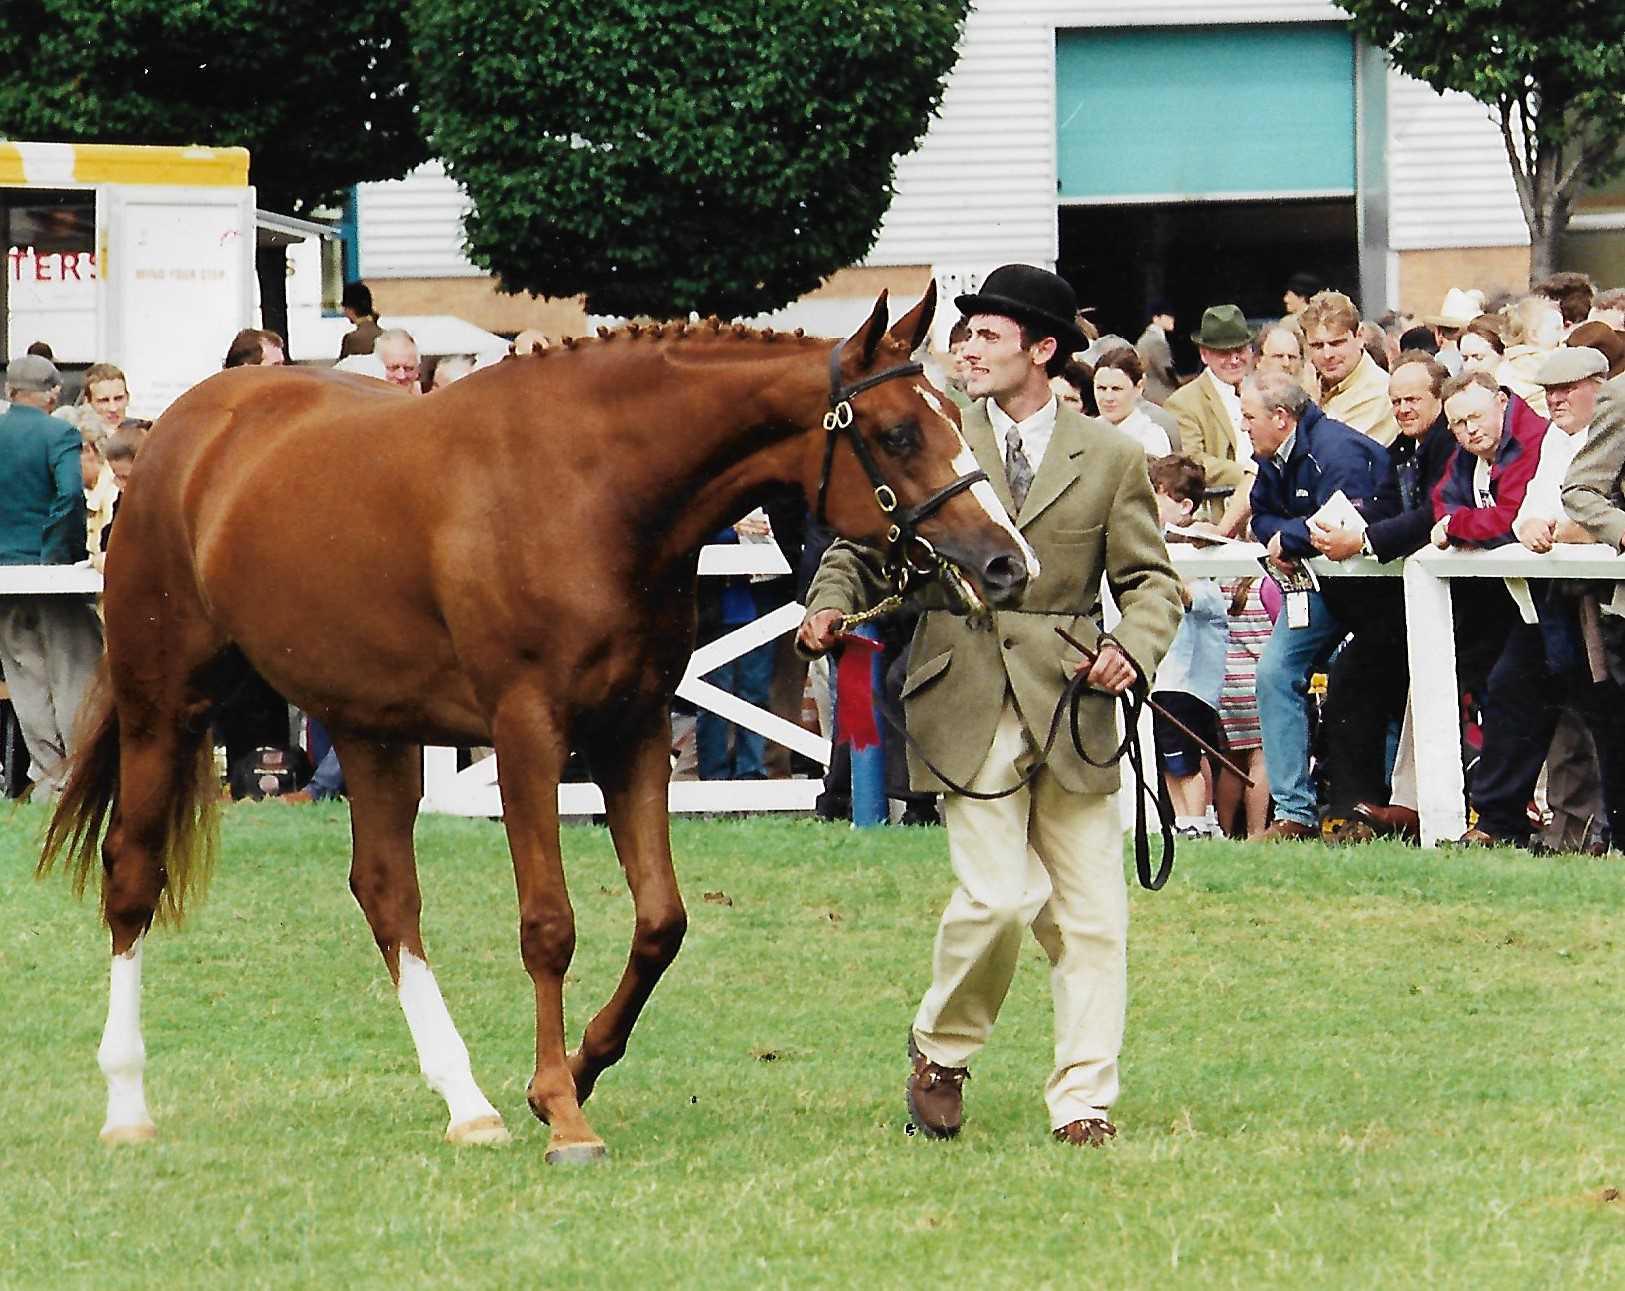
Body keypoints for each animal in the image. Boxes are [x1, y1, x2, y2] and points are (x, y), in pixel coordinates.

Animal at [40, 285, 1037, 1163]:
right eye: (899, 432)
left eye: (956, 417)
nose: (1005, 562)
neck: (590, 486)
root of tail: (185, 430)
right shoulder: (528, 731)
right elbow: (547, 924)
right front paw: (563, 1111)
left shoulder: (634, 729)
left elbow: (661, 920)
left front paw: (576, 1069)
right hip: (163, 703)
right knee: (132, 875)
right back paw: (126, 1106)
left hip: (367, 724)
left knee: (386, 893)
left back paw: (466, 1103)